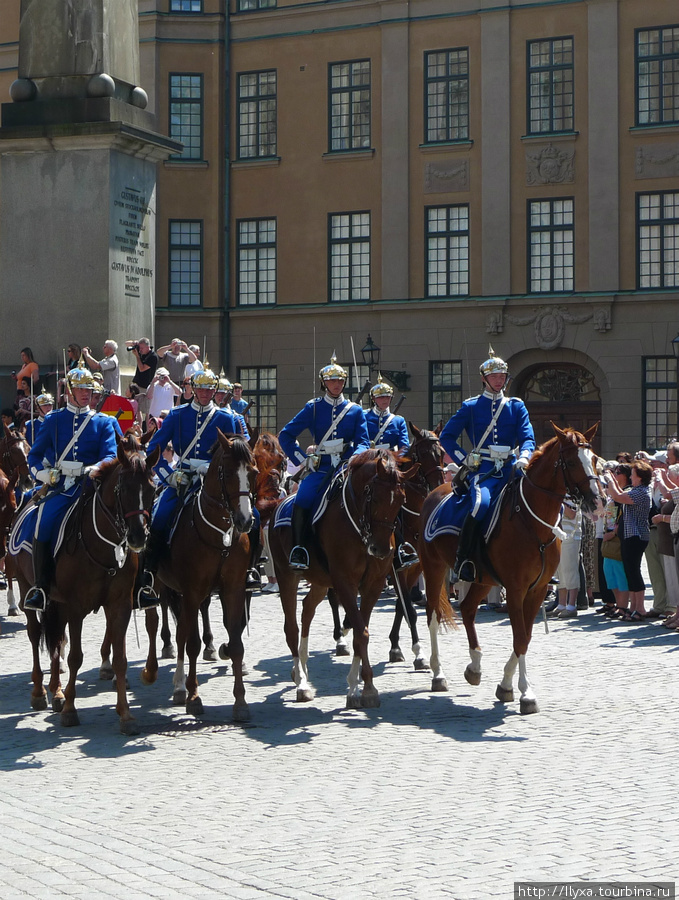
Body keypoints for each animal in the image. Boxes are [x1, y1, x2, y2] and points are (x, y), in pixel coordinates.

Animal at [11, 440, 160, 736]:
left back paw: (56, 692)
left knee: (56, 640)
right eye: (123, 489)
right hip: (26, 587)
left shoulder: (120, 604)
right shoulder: (76, 607)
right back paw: (40, 692)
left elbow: (120, 658)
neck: (103, 546)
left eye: (152, 489)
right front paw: (70, 710)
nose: (138, 537)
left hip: (56, 603)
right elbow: (75, 657)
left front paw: (125, 714)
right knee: (35, 635)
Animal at [138, 432, 258, 720]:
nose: (245, 521)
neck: (219, 535)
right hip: (159, 586)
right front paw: (194, 697)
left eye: (254, 472)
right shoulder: (192, 591)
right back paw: (161, 675)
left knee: (181, 628)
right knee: (158, 624)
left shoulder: (233, 589)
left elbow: (236, 641)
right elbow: (190, 643)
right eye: (228, 473)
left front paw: (240, 702)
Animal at [268, 450, 418, 712]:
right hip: (286, 576)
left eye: (401, 500)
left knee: (307, 610)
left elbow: (361, 631)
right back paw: (302, 683)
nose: (380, 549)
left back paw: (303, 668)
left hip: (319, 581)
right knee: (291, 628)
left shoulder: (373, 584)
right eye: (374, 498)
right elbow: (361, 631)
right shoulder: (345, 582)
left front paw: (356, 687)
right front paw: (367, 688)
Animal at [420, 424, 604, 716]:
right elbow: (520, 638)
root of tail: (436, 490)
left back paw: (475, 666)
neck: (533, 523)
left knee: (468, 608)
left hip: (482, 578)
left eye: (595, 459)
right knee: (433, 615)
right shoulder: (516, 589)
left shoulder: (537, 590)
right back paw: (438, 674)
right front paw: (525, 693)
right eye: (573, 462)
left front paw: (507, 685)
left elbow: (525, 637)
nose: (597, 501)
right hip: (434, 567)